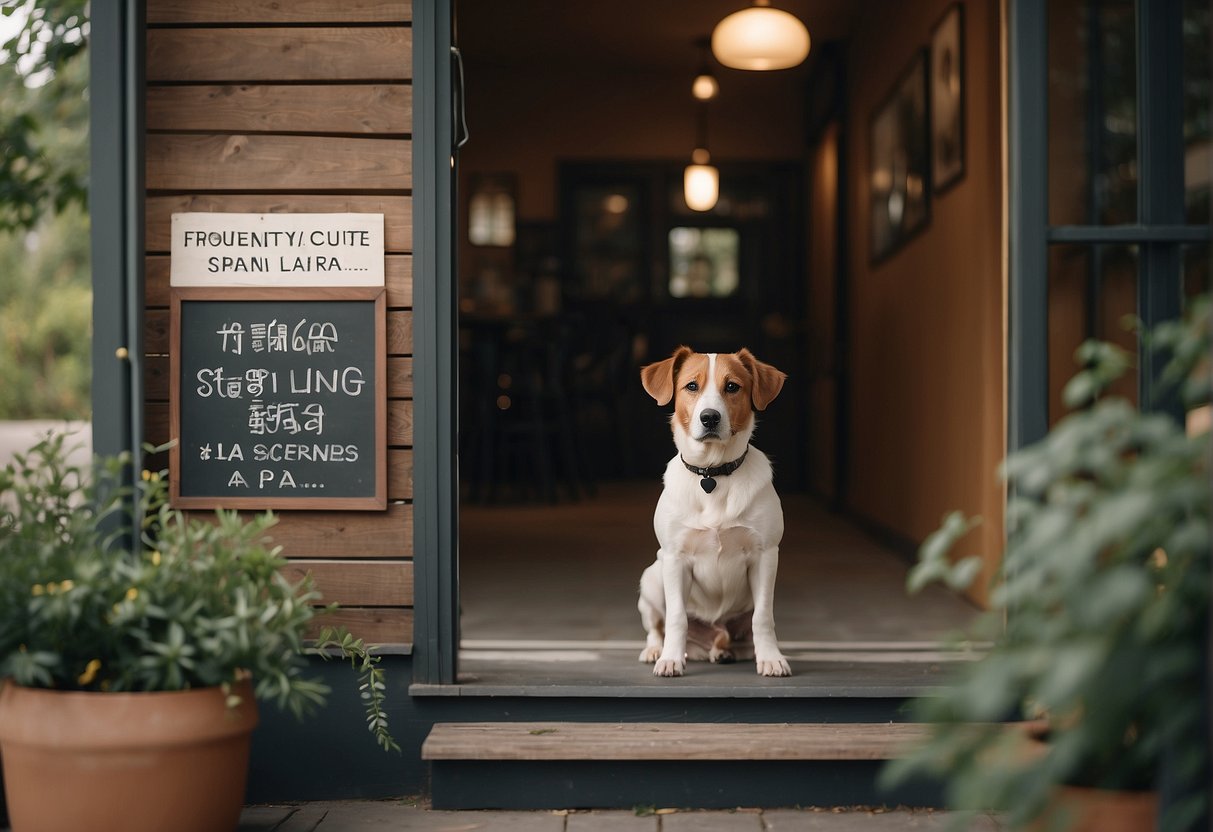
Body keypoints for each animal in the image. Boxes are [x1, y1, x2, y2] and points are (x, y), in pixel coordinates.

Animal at [640, 344, 790, 679]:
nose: (710, 417)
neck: (713, 474)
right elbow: (676, 618)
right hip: (652, 577)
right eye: (691, 386)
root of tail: (715, 636)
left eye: (732, 386)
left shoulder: (765, 556)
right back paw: (656, 649)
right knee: (657, 626)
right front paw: (670, 659)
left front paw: (771, 658)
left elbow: (763, 618)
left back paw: (730, 652)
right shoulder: (675, 558)